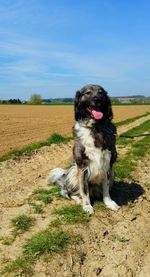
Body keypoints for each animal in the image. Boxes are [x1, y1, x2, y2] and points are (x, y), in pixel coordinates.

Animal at [48, 84, 120, 213]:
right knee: (69, 193)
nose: (97, 100)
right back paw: (78, 199)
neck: (95, 128)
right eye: (88, 93)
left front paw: (109, 203)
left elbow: (106, 189)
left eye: (101, 93)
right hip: (72, 172)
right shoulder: (82, 167)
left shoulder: (108, 166)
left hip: (113, 172)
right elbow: (84, 191)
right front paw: (87, 206)